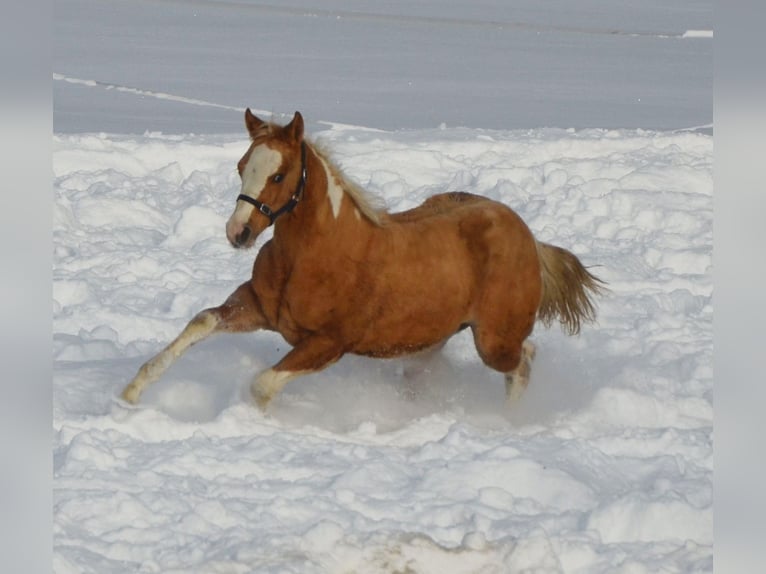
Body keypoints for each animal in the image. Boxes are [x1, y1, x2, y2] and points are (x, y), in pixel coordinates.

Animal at [121, 110, 608, 412]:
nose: (237, 232)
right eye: (242, 166)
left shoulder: (329, 343)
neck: (316, 254)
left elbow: (261, 384)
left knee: (524, 360)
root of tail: (527, 235)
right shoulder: (258, 308)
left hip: (493, 340)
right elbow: (201, 322)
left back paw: (507, 422)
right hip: (431, 340)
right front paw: (129, 394)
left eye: (278, 175)